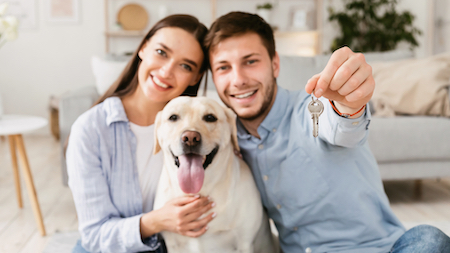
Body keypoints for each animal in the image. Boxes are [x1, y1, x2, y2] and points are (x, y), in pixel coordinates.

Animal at [153, 97, 276, 253]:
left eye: (210, 117)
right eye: (173, 117)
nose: (190, 138)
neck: (200, 190)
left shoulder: (245, 243)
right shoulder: (173, 245)